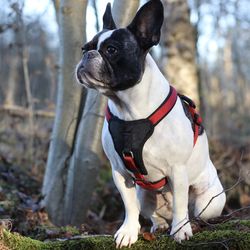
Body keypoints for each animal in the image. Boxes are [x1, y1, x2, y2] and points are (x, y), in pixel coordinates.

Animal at [75, 0, 226, 246]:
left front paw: (181, 230)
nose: (88, 54)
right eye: (84, 48)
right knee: (153, 213)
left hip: (208, 201)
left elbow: (181, 205)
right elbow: (129, 207)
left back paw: (190, 223)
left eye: (112, 50)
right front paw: (128, 231)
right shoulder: (120, 172)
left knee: (195, 212)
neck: (129, 109)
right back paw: (160, 225)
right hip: (145, 196)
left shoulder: (177, 169)